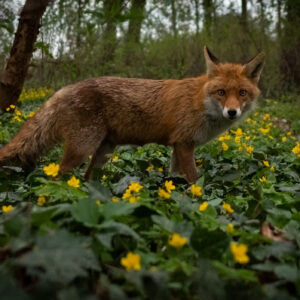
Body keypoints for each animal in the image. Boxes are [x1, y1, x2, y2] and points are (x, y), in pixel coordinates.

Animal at [0, 47, 264, 183]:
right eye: (221, 92)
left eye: (242, 93)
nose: (232, 112)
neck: (201, 103)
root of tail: (63, 89)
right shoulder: (184, 144)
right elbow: (194, 179)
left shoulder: (178, 147)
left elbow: (176, 178)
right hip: (81, 150)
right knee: (57, 177)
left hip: (103, 152)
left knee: (87, 178)